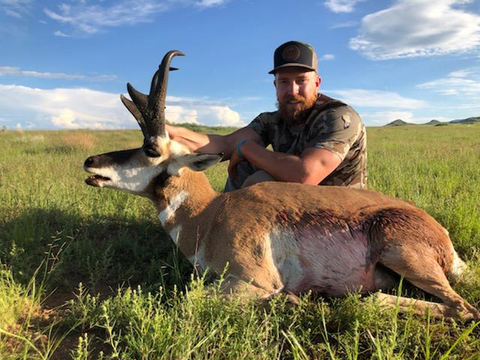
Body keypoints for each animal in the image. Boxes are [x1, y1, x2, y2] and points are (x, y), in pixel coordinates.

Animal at [84, 50, 478, 320]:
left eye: (150, 149)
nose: (90, 163)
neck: (209, 215)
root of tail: (440, 233)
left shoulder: (253, 281)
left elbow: (190, 298)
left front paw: (290, 299)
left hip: (402, 255)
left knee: (461, 308)